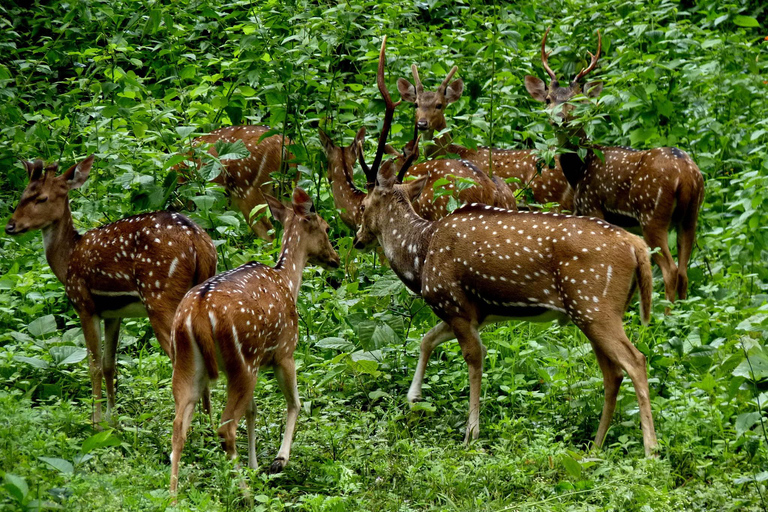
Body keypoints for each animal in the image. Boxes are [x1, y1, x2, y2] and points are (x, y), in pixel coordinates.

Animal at [4, 155, 218, 424]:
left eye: (41, 198)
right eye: (23, 195)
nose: (10, 226)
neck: (67, 259)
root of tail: (197, 241)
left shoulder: (84, 304)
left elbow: (93, 365)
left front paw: (95, 421)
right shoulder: (114, 313)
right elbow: (109, 364)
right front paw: (112, 419)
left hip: (160, 295)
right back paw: (208, 423)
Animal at [170, 187, 340, 492]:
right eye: (326, 227)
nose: (335, 259)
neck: (288, 281)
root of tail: (198, 311)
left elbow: (253, 411)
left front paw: (254, 465)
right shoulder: (284, 352)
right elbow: (295, 403)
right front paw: (278, 461)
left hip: (189, 359)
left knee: (179, 426)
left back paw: (173, 494)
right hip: (243, 359)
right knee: (225, 427)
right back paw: (244, 492)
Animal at [524, 29, 704, 308]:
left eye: (578, 100)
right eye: (548, 99)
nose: (560, 119)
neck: (580, 170)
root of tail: (686, 175)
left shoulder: (592, 206)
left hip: (652, 214)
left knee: (671, 271)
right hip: (691, 215)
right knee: (684, 271)